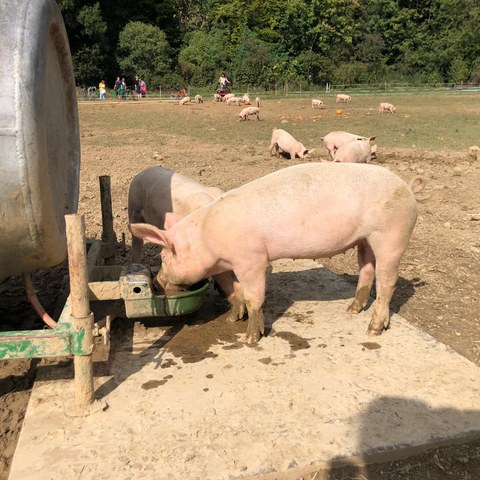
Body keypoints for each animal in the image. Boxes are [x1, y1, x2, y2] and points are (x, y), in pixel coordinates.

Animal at [129, 163, 426, 344]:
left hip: (391, 235)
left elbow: (254, 297)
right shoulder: (233, 264)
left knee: (388, 280)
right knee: (367, 269)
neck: (207, 238)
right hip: (365, 240)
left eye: (164, 257)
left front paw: (250, 339)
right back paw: (352, 310)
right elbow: (236, 290)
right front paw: (232, 318)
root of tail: (408, 187)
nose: (157, 282)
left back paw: (373, 329)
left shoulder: (252, 259)